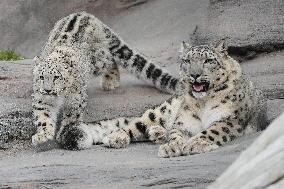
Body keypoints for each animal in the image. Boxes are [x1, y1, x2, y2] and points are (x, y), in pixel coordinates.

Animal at [32, 11, 179, 148]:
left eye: (57, 77)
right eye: (41, 77)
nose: (48, 90)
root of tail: (88, 15)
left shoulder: (76, 99)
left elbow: (72, 116)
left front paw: (66, 129)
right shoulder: (41, 98)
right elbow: (43, 115)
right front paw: (43, 135)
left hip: (98, 60)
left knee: (111, 60)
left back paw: (110, 81)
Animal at [58, 38, 268, 157]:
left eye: (208, 60)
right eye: (187, 60)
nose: (194, 74)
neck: (203, 102)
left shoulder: (230, 119)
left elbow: (211, 131)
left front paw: (195, 144)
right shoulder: (184, 122)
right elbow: (176, 134)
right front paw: (172, 147)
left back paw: (157, 133)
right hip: (160, 110)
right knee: (133, 124)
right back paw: (118, 137)